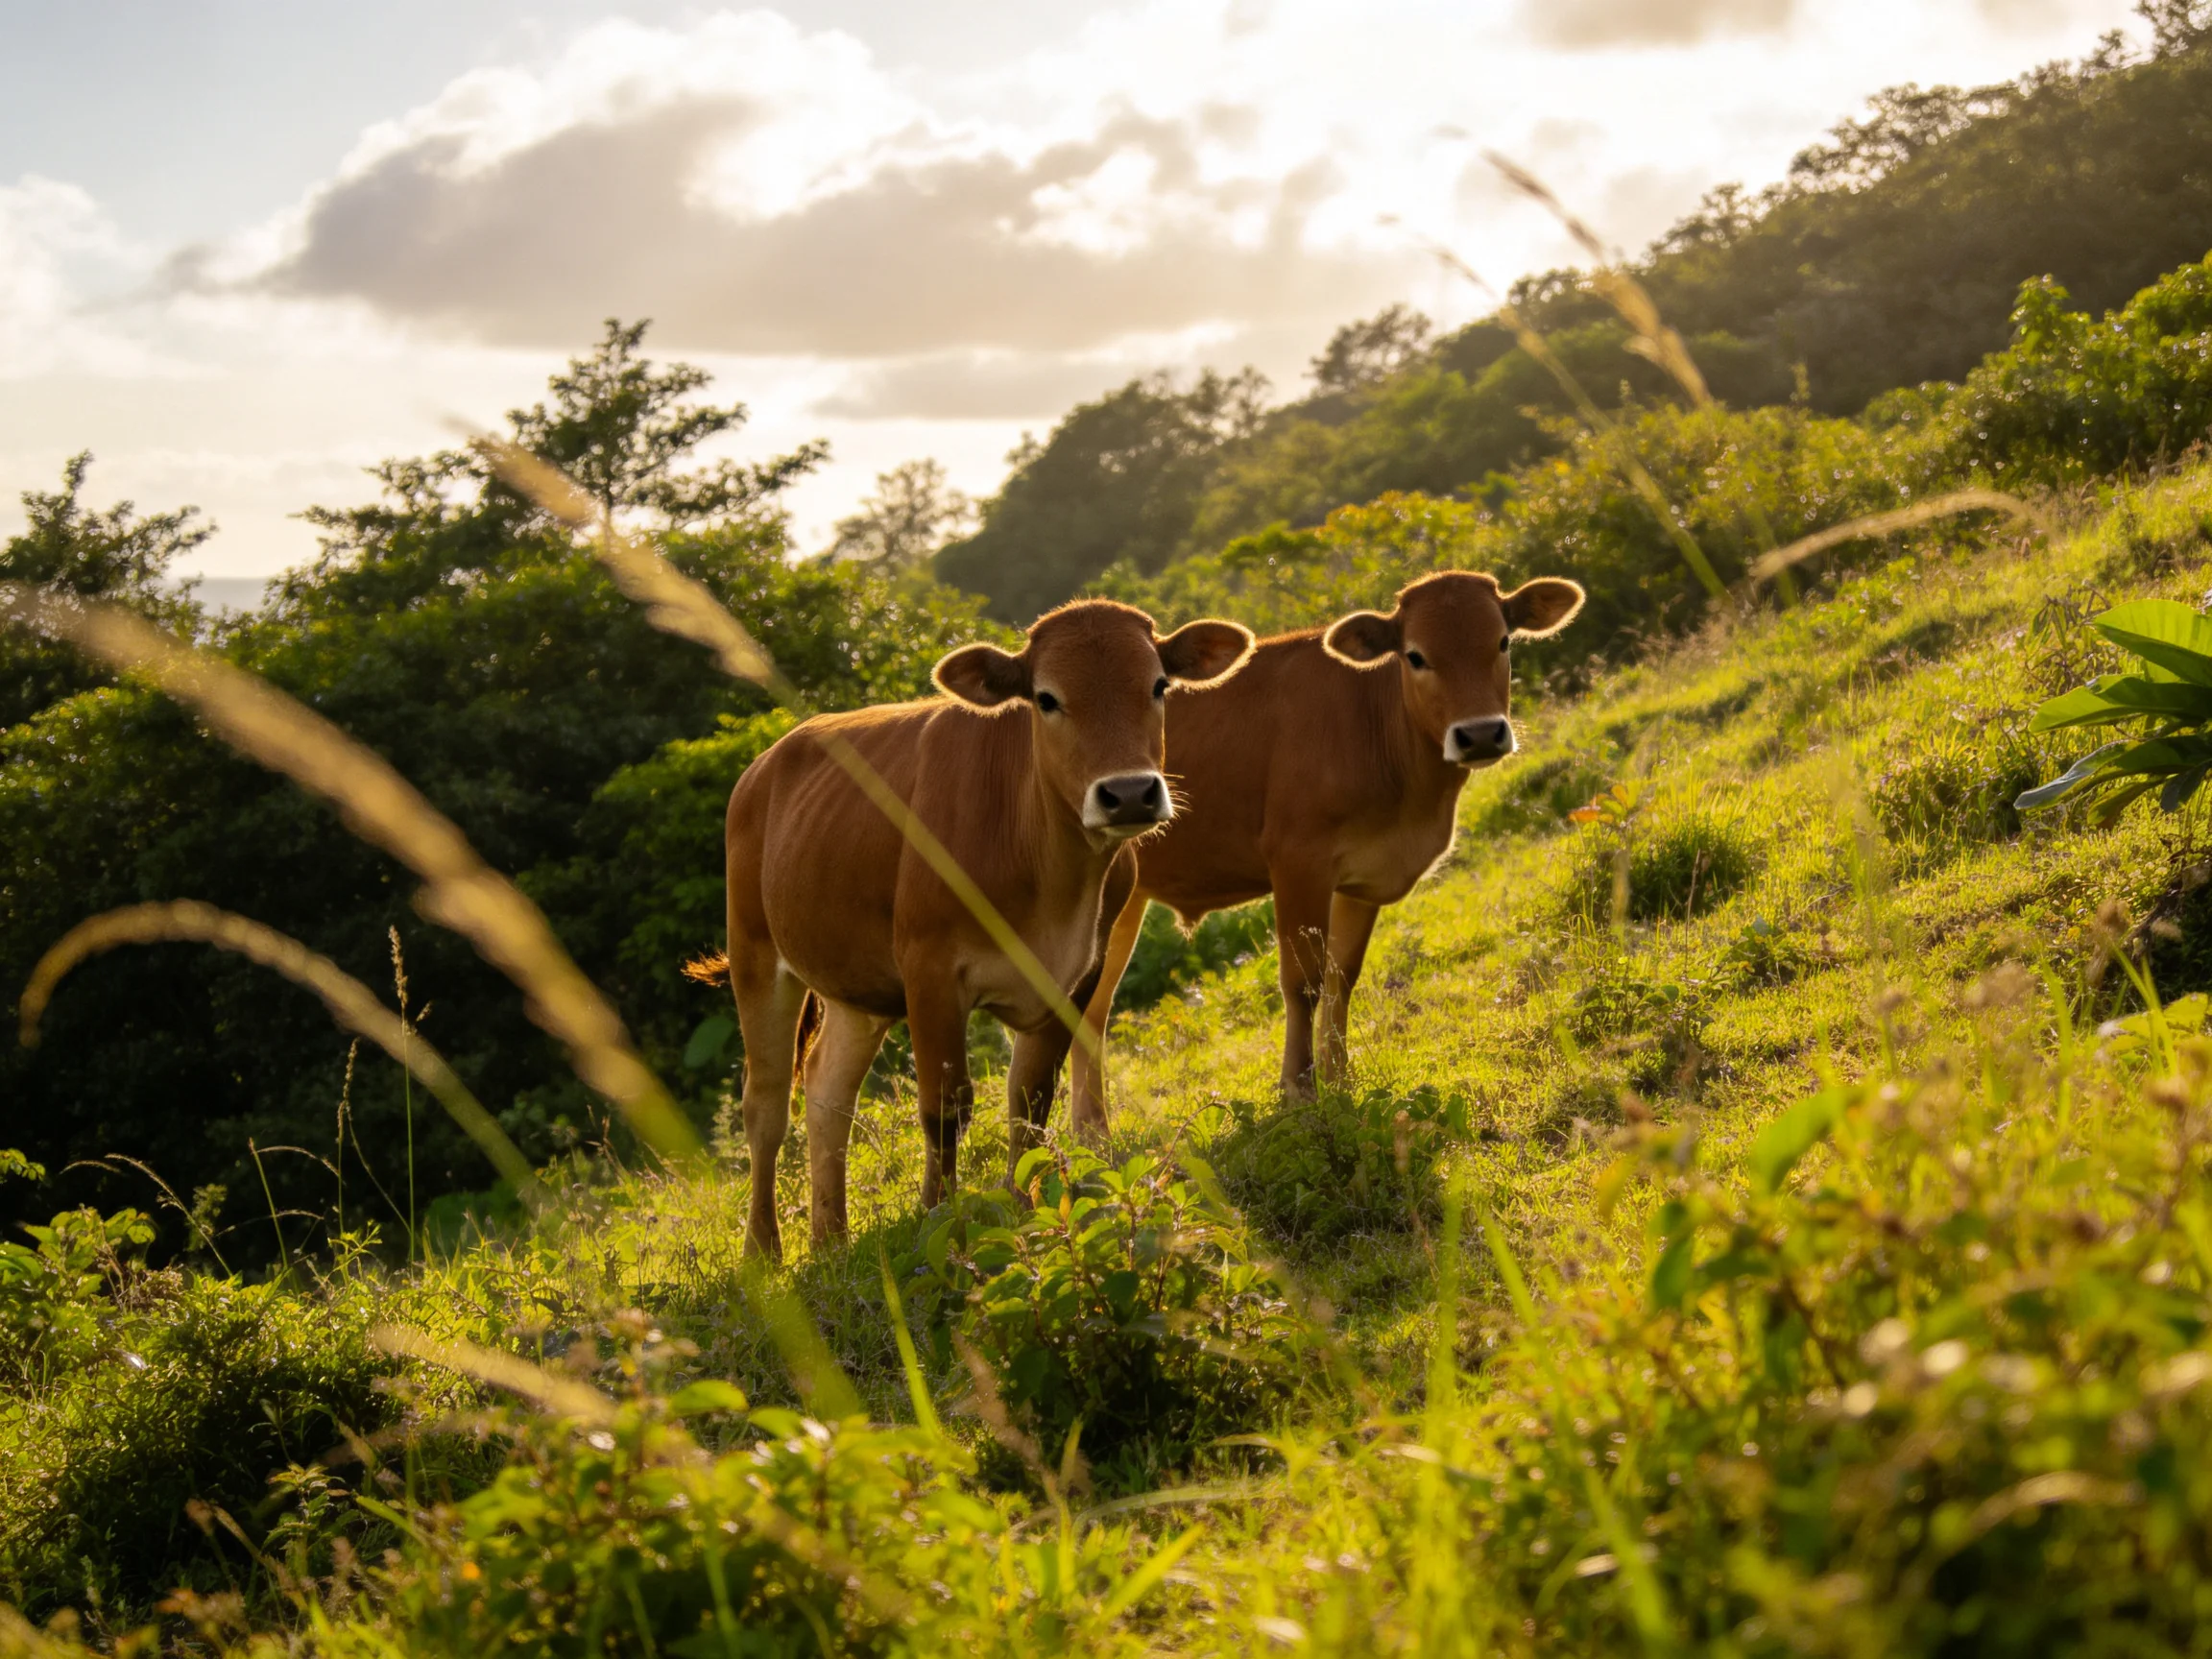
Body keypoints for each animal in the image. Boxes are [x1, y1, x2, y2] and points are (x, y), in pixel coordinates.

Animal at [719, 599, 1254, 1260]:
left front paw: (1028, 1213)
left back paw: (831, 1243)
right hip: (755, 953)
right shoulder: (929, 972)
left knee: (827, 1091)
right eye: (1046, 698)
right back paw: (762, 1252)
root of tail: (765, 765)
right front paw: (939, 1218)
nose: (1128, 793)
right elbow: (944, 1109)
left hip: (855, 988)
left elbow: (1030, 1100)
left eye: (1158, 685)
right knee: (766, 1105)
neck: (1051, 882)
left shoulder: (1078, 974)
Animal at [1069, 571, 1584, 1124]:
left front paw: (1339, 1081)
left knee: (1090, 1011)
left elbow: (1342, 979)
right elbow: (1304, 981)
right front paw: (1300, 1089)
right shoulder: (1299, 863)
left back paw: (1091, 1132)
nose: (1481, 734)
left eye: (1503, 641)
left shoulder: (1362, 878)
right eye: (1416, 656)